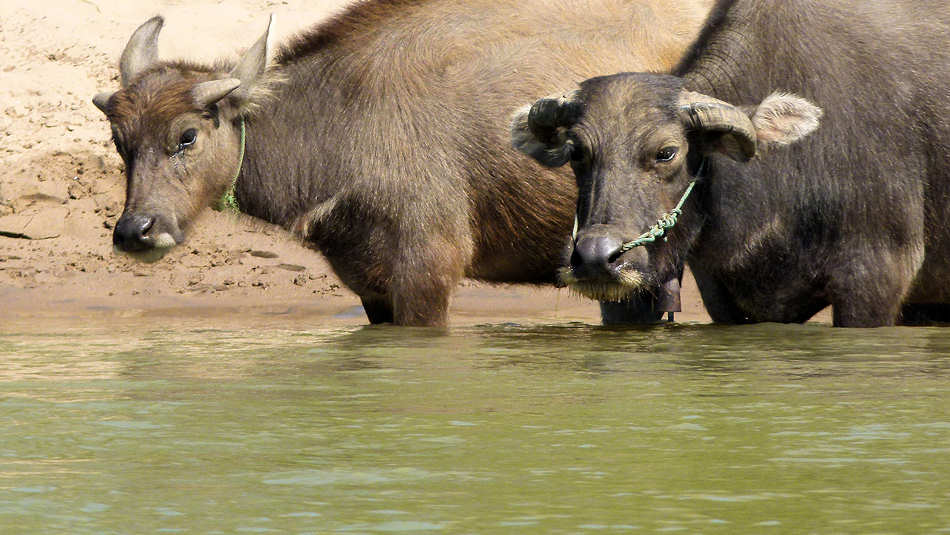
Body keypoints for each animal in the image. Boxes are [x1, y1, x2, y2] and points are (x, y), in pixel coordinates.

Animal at [91, 0, 712, 326]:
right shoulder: (370, 287)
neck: (339, 123)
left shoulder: (427, 275)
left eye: (187, 136)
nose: (135, 231)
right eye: (120, 140)